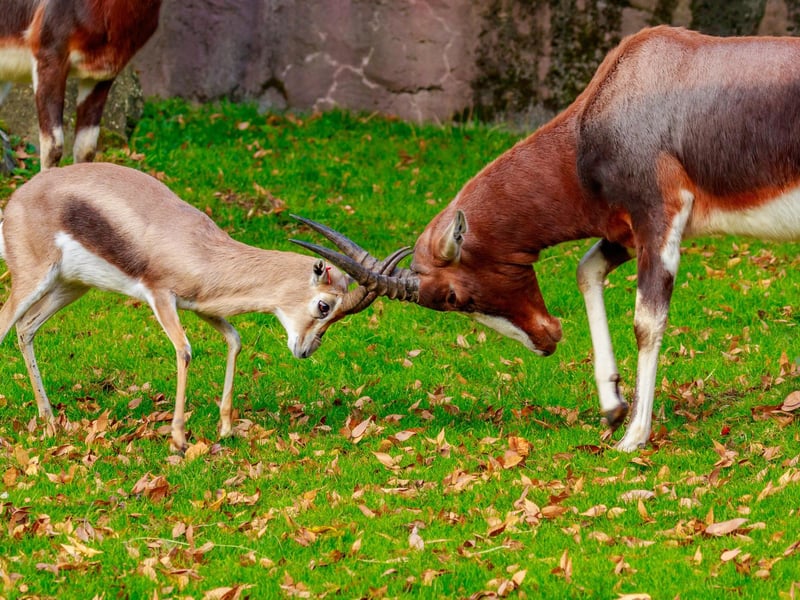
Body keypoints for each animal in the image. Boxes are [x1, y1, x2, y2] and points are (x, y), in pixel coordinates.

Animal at [0, 162, 407, 451]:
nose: (305, 351)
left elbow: (235, 340)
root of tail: (18, 198)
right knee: (7, 323)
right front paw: (179, 439)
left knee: (26, 328)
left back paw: (50, 421)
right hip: (32, 279)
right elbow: (184, 350)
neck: (202, 250)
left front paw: (226, 429)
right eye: (324, 306)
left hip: (72, 286)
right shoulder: (160, 296)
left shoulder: (202, 306)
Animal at [292, 26, 800, 452]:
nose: (546, 339)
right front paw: (612, 408)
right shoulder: (624, 231)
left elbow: (646, 321)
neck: (622, 87)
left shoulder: (660, 218)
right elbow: (585, 271)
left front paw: (633, 437)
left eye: (453, 297)